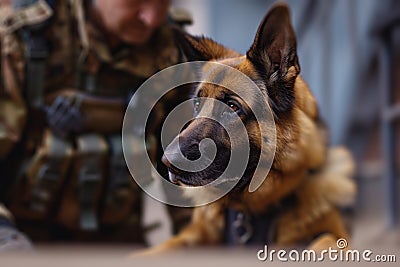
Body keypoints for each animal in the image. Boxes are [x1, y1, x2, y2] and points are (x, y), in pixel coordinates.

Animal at [142, 3, 354, 255]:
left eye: (233, 107)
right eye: (197, 105)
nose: (166, 162)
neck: (250, 211)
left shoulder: (337, 235)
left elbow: (325, 241)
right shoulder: (193, 235)